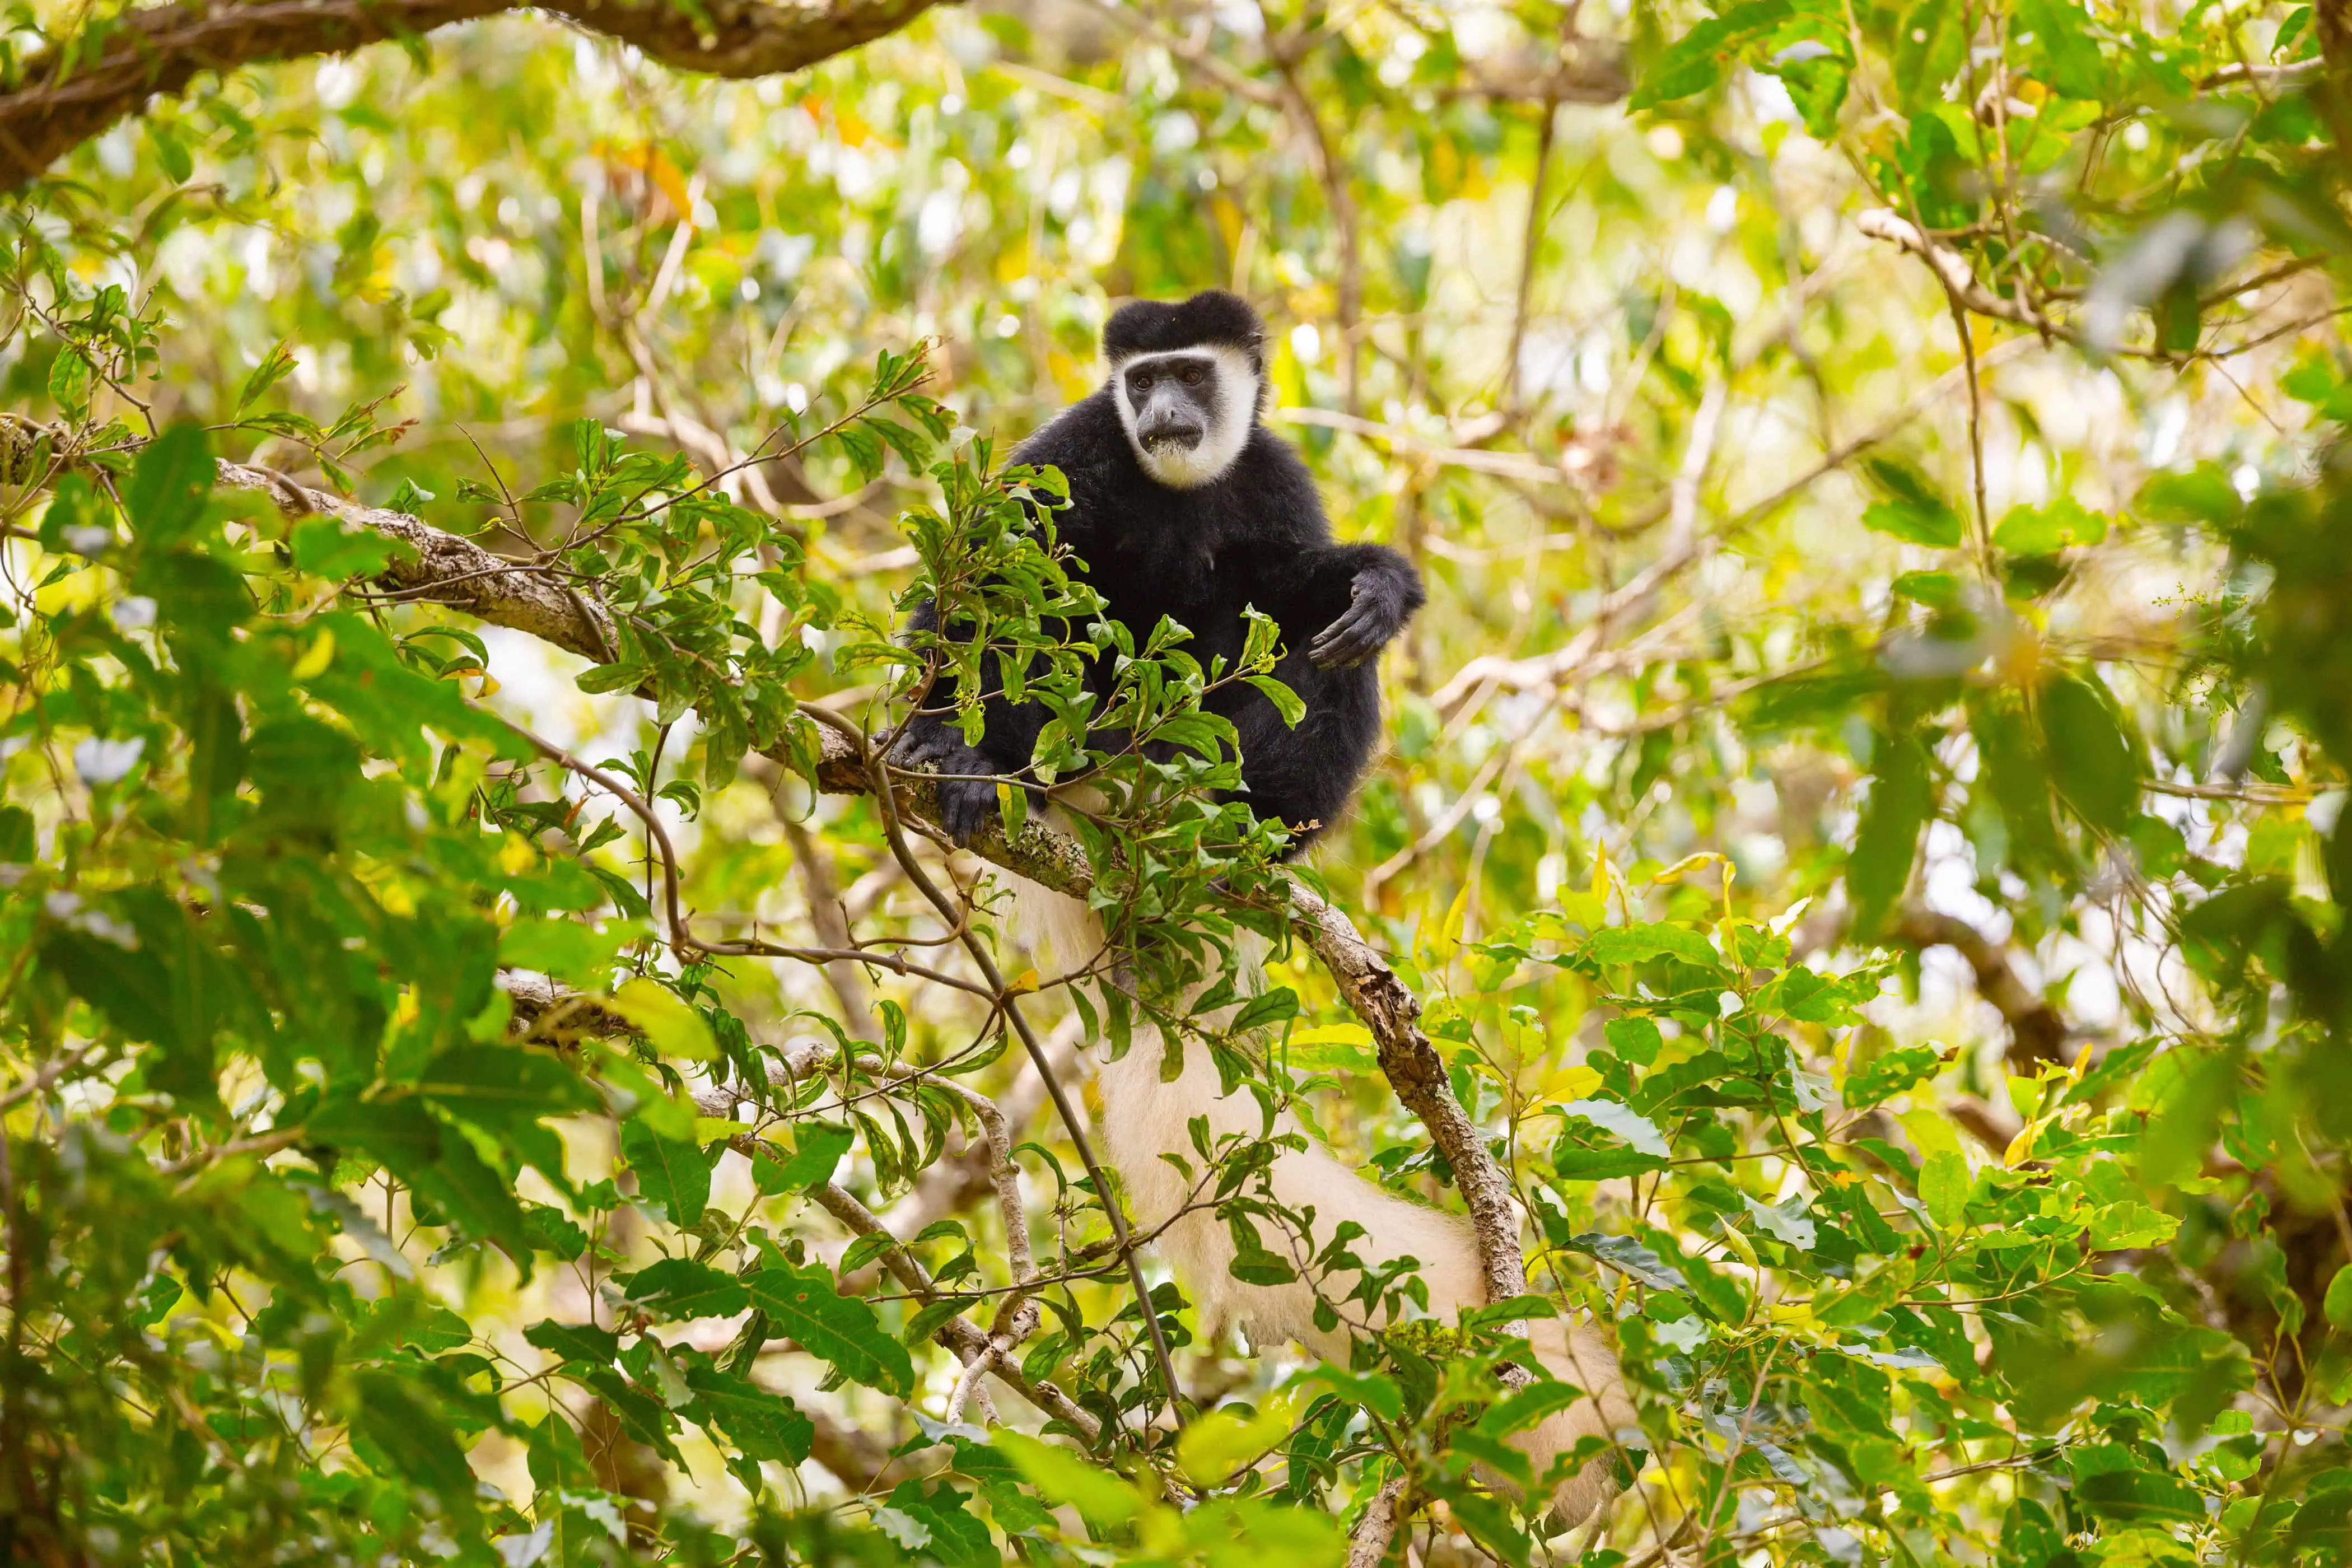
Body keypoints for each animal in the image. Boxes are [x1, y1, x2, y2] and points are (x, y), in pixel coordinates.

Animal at [892, 291, 1632, 1527]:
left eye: (1193, 372)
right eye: (1142, 382)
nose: (1169, 413)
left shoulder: (1272, 475)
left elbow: (1305, 580)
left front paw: (1382, 585)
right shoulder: (1078, 447)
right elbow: (989, 567)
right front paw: (928, 736)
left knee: (1319, 646)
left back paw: (1242, 813)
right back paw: (989, 764)